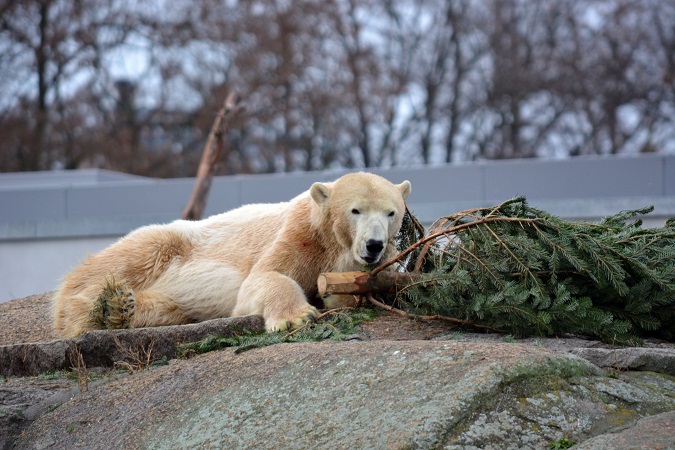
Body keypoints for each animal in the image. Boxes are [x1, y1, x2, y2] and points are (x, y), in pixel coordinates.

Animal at [51, 172, 412, 338]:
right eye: (355, 210)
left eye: (391, 212)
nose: (374, 244)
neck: (330, 242)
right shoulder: (298, 236)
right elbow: (263, 279)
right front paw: (296, 316)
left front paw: (338, 293)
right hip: (164, 243)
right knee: (126, 261)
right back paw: (98, 307)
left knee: (168, 308)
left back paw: (119, 308)